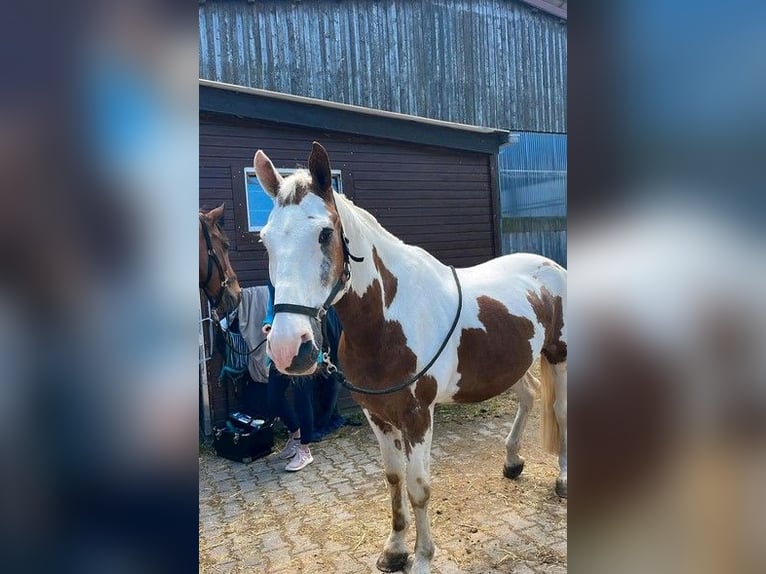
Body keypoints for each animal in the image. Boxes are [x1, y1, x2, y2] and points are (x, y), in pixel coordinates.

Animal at [255, 143, 568, 574]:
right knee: (529, 395)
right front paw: (395, 549)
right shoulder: (377, 415)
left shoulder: (418, 416)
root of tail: (551, 267)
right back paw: (512, 462)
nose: (289, 348)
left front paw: (421, 557)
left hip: (559, 353)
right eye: (265, 241)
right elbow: (393, 478)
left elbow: (419, 487)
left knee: (561, 410)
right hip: (515, 362)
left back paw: (563, 480)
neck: (387, 320)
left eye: (324, 233)